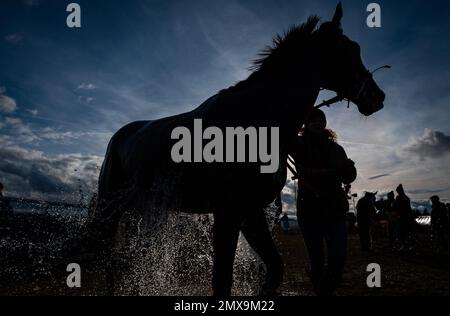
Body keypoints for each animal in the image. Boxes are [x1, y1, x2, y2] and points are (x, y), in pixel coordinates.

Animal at [89, 2, 384, 296]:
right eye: (348, 49)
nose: (377, 97)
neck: (255, 121)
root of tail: (119, 137)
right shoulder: (228, 211)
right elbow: (222, 280)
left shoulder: (250, 211)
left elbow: (275, 270)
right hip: (109, 209)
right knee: (107, 257)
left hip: (141, 210)